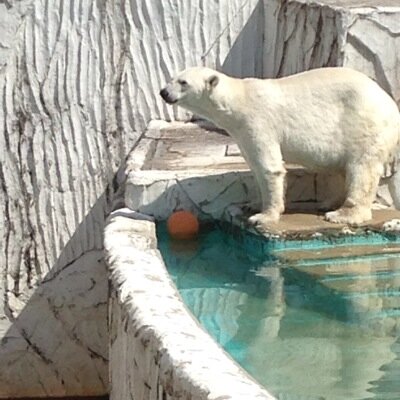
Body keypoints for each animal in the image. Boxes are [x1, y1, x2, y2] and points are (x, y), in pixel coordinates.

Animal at [159, 67, 400, 230]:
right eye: (172, 78)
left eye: (183, 82)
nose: (163, 92)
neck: (238, 99)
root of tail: (391, 105)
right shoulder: (241, 132)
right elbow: (256, 167)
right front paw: (252, 204)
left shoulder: (258, 121)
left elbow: (269, 167)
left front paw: (263, 216)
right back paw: (327, 202)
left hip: (364, 125)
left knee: (362, 169)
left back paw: (341, 214)